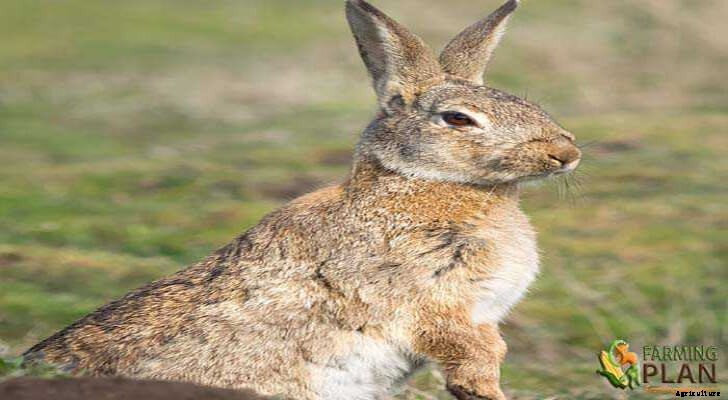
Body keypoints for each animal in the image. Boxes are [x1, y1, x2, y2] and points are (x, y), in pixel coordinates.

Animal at [23, 0, 581, 399]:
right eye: (458, 119)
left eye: (526, 102)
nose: (567, 153)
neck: (425, 183)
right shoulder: (434, 303)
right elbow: (469, 351)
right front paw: (486, 391)